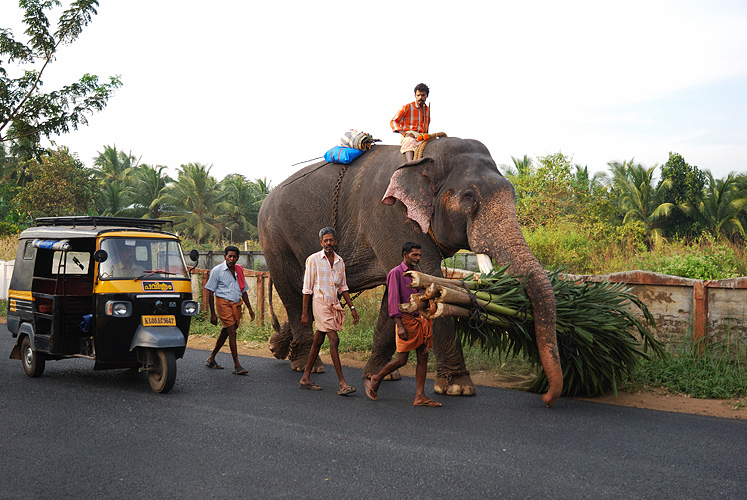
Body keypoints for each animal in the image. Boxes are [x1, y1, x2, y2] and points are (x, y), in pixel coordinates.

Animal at [258, 137, 563, 407]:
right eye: (468, 197)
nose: (546, 398)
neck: (424, 156)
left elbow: (400, 288)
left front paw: (382, 374)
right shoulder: (388, 213)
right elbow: (426, 277)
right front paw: (458, 388)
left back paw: (280, 349)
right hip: (273, 237)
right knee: (294, 292)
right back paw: (306, 365)